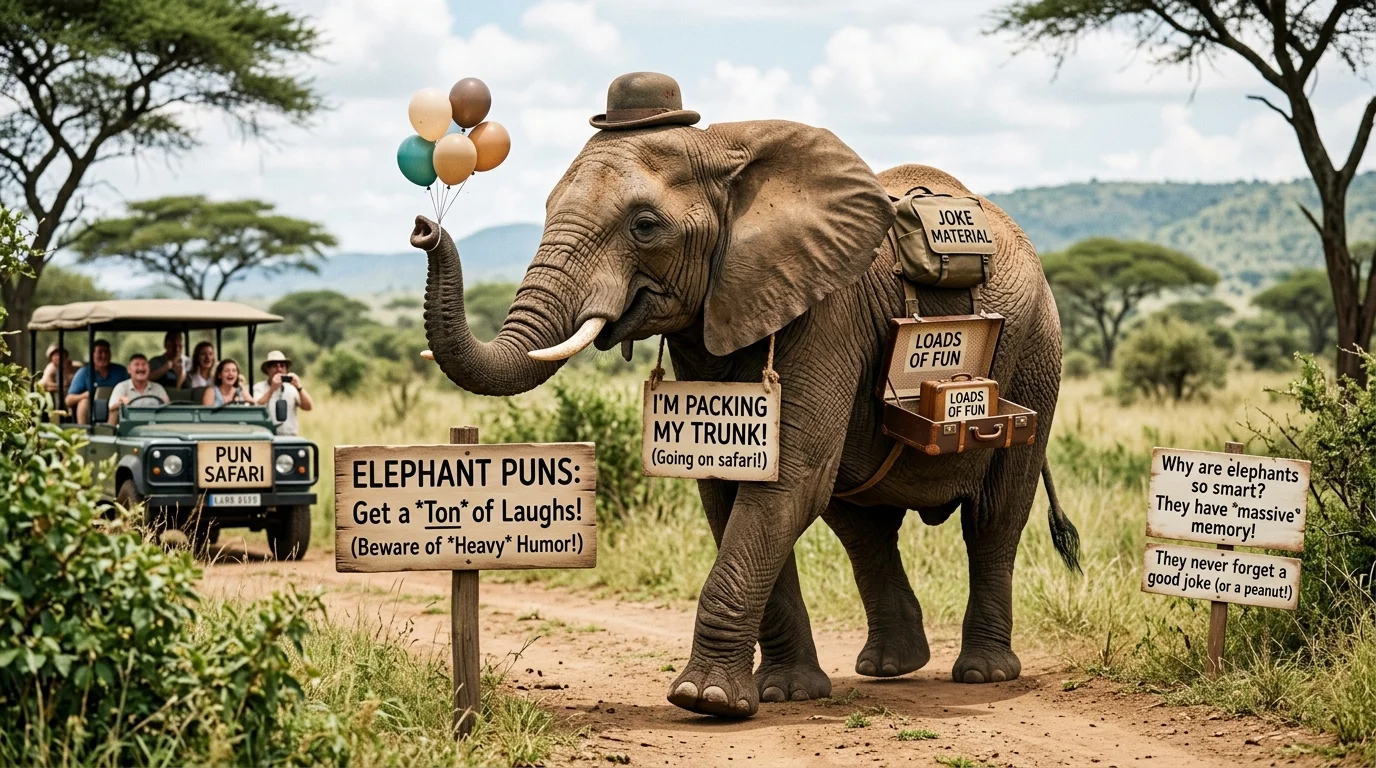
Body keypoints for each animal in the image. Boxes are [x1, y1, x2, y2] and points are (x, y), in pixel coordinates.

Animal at [412, 117, 1080, 718]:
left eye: (645, 226)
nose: (424, 228)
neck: (725, 152)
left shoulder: (829, 309)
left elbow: (786, 483)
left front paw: (703, 700)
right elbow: (733, 487)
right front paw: (782, 694)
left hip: (1036, 355)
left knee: (994, 516)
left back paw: (983, 674)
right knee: (861, 525)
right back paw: (890, 667)